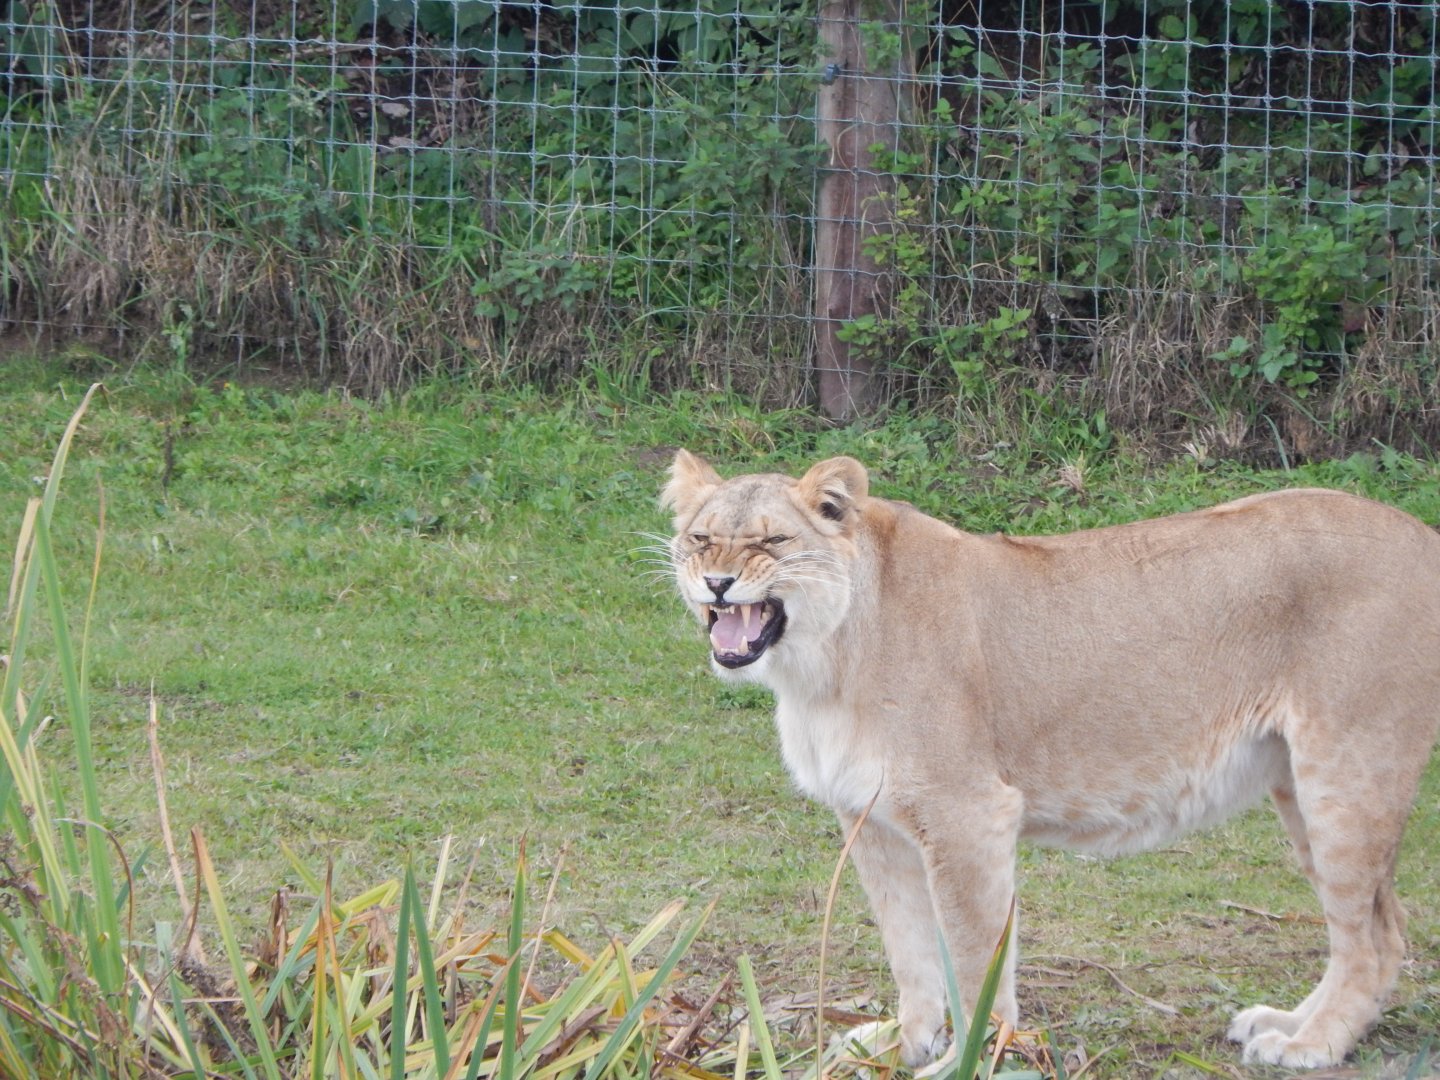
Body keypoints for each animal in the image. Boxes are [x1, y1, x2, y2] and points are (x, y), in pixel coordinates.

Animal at [659, 450, 1440, 1070]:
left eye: (771, 539)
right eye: (700, 538)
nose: (717, 583)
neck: (819, 667)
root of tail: (1423, 534)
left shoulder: (967, 814)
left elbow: (974, 956)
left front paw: (974, 1058)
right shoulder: (873, 823)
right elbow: (910, 950)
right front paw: (904, 1043)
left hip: (1348, 771)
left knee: (1373, 937)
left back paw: (1311, 1045)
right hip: (1298, 786)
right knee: (1377, 927)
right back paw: (1288, 1022)